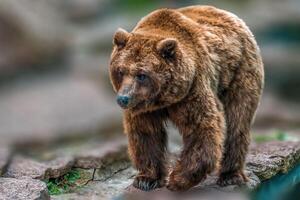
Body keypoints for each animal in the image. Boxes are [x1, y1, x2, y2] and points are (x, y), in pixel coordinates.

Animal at [109, 5, 264, 191]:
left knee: (238, 119)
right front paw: (146, 179)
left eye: (141, 75)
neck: (163, 98)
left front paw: (177, 179)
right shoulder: (143, 107)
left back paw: (230, 176)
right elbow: (145, 133)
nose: (123, 98)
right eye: (120, 71)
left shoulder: (192, 88)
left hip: (239, 72)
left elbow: (201, 127)